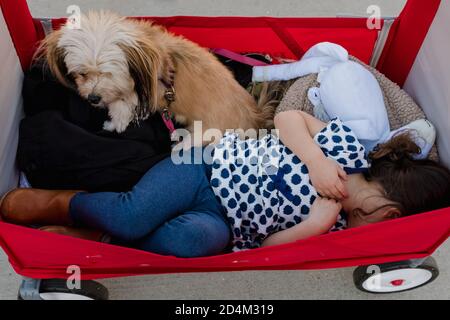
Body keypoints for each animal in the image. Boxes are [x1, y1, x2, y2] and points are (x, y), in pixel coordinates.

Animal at [38, 11, 276, 143]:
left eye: (108, 74)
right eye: (81, 73)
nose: (93, 98)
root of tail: (255, 119)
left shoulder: (144, 91)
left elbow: (122, 104)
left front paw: (113, 124)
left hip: (202, 135)